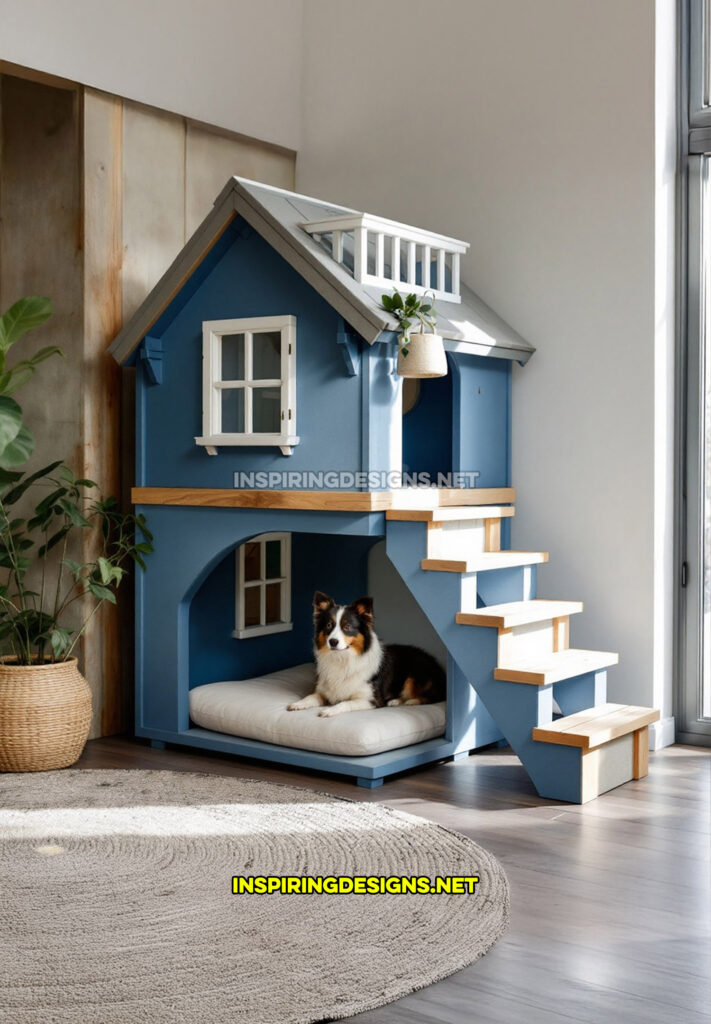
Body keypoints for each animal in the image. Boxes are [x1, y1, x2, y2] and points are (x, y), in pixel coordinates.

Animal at [288, 593, 446, 720]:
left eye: (347, 627)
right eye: (328, 625)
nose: (332, 642)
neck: (343, 659)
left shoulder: (370, 699)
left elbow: (345, 703)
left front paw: (329, 711)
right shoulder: (323, 692)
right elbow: (310, 696)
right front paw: (298, 703)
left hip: (414, 676)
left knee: (431, 696)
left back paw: (408, 701)